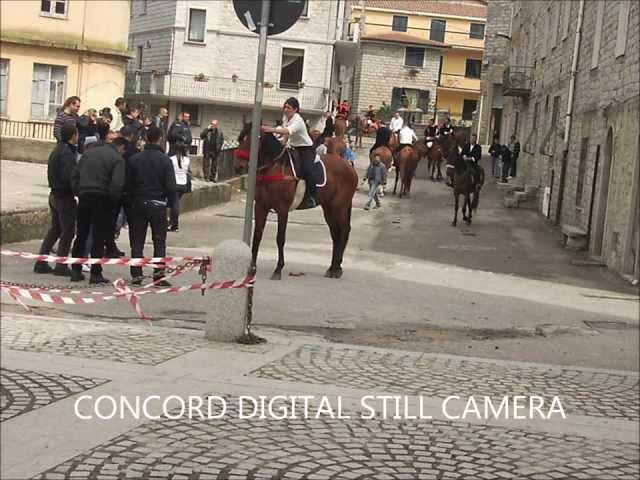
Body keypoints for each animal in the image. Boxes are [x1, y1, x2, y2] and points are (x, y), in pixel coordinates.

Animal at [236, 124, 358, 280]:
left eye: (252, 140)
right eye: (240, 138)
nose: (238, 166)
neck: (275, 167)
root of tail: (349, 167)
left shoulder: (282, 209)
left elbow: (280, 238)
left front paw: (278, 269)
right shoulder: (260, 207)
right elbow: (257, 236)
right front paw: (251, 268)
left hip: (339, 207)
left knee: (343, 231)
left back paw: (336, 268)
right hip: (329, 208)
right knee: (335, 234)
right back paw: (332, 268)